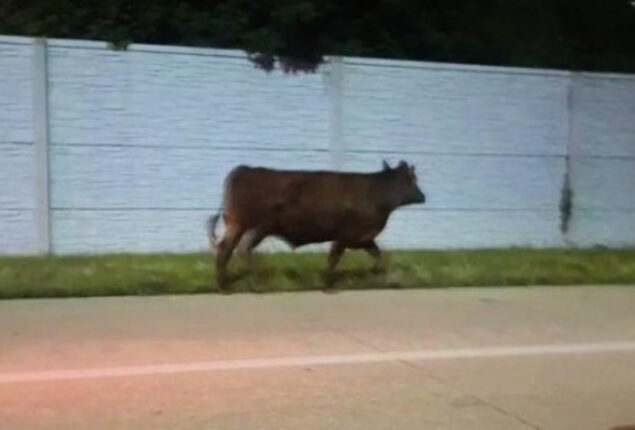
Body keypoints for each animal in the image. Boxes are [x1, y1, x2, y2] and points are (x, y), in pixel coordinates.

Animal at [209, 160, 428, 290]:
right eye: (413, 180)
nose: (423, 196)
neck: (376, 194)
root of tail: (244, 169)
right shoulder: (344, 235)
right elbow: (334, 258)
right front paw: (327, 282)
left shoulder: (362, 238)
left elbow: (377, 254)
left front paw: (377, 273)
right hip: (255, 227)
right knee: (238, 249)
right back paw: (251, 280)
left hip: (238, 226)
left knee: (226, 249)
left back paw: (225, 283)